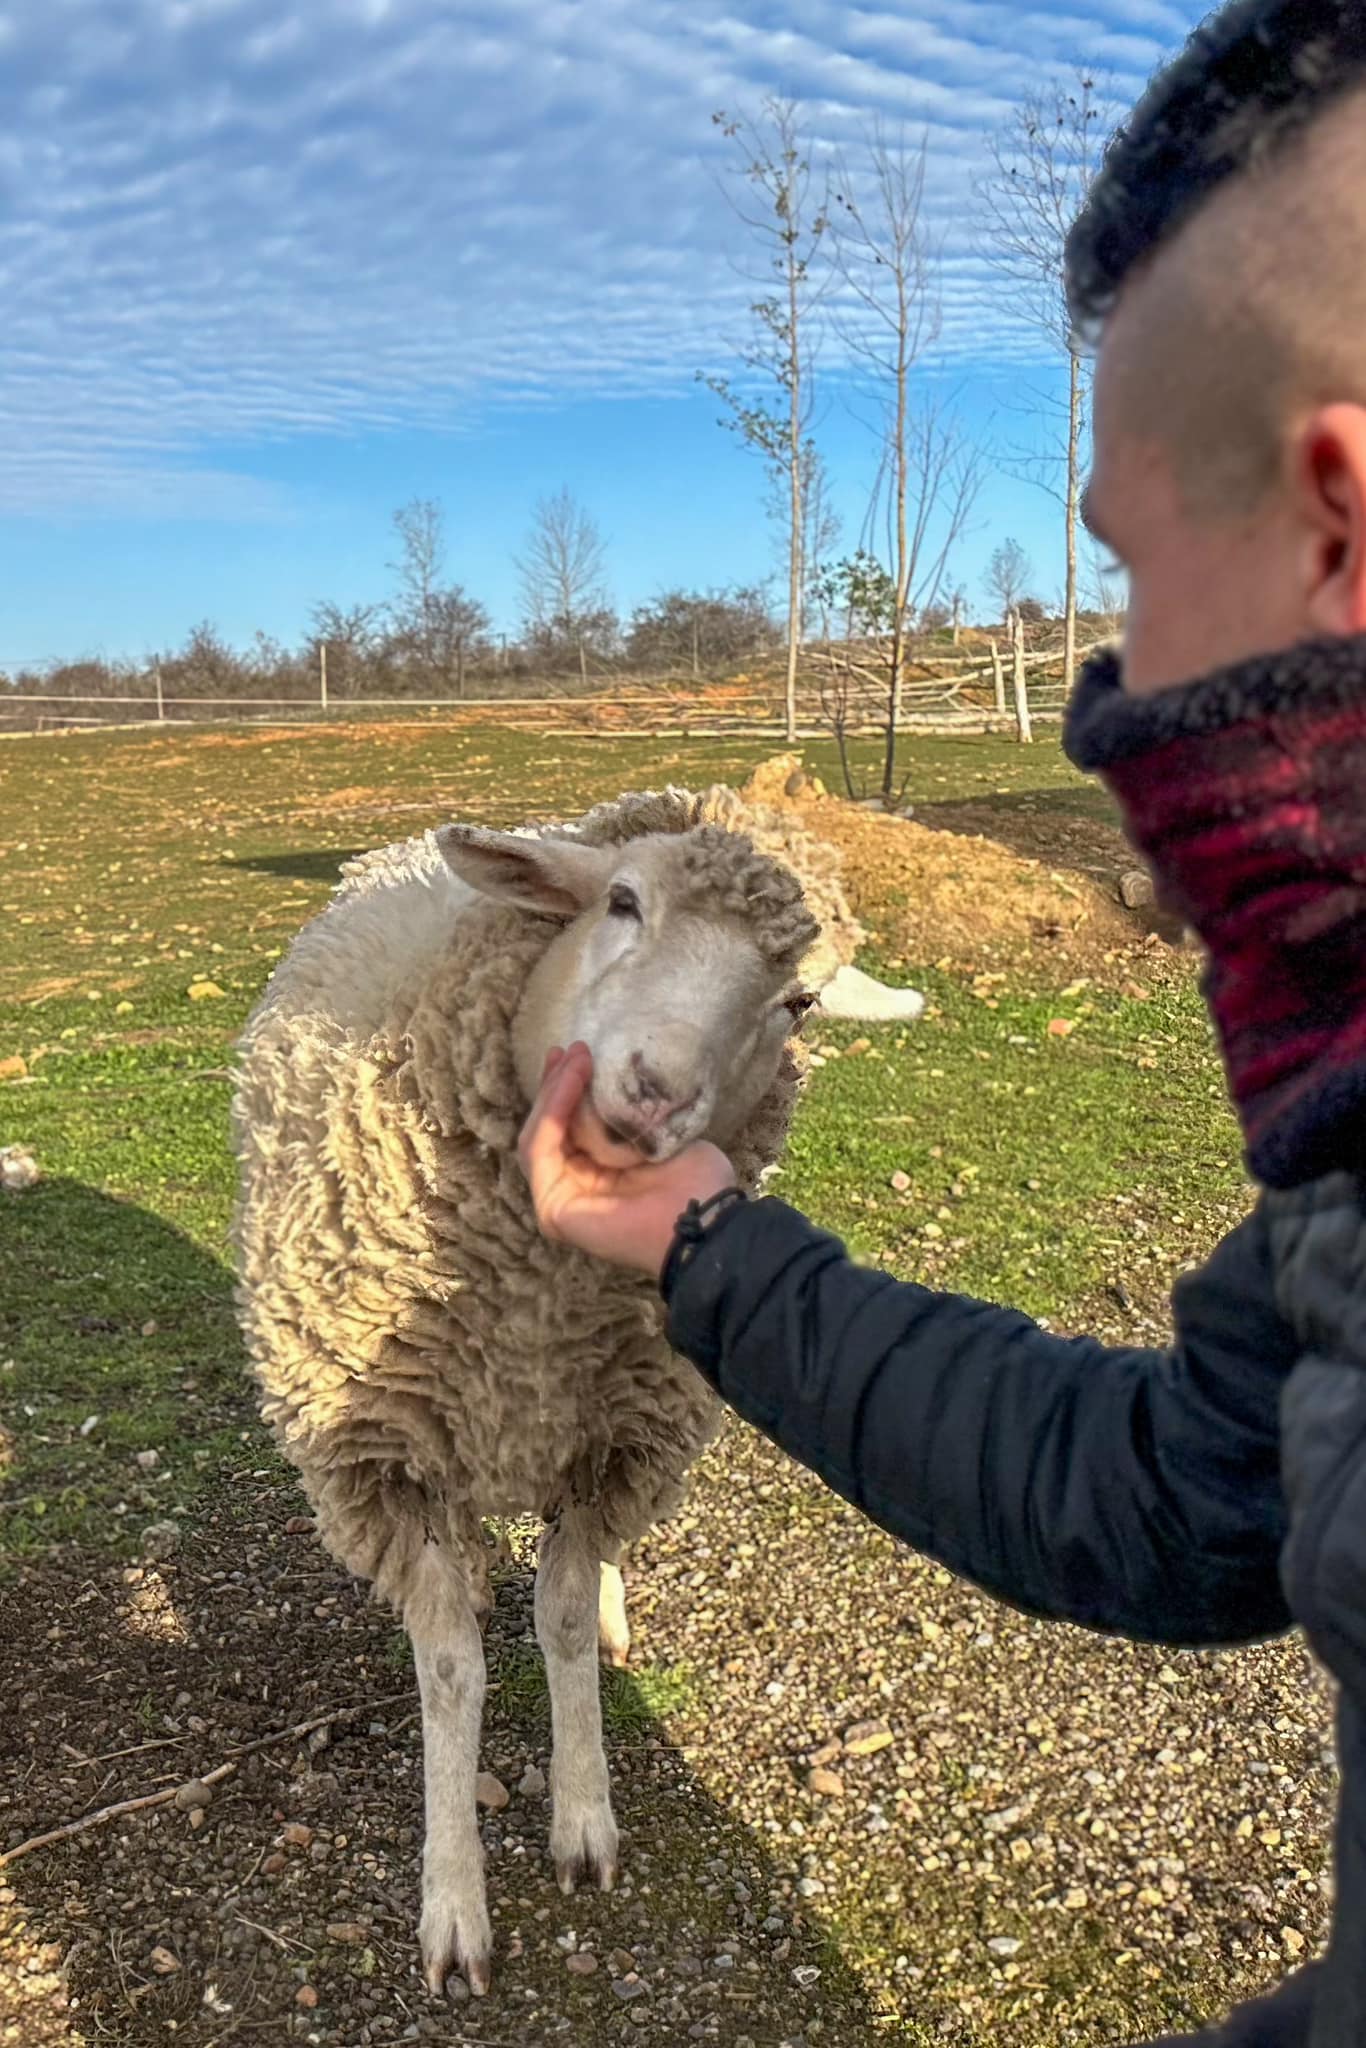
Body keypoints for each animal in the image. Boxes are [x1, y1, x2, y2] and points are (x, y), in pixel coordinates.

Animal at [229, 782, 925, 1998]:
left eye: (797, 1000)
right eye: (622, 900)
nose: (654, 1093)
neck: (529, 1311)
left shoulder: (616, 1444)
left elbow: (554, 1615)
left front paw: (583, 1815)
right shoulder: (385, 1462)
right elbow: (450, 1665)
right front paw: (453, 1899)